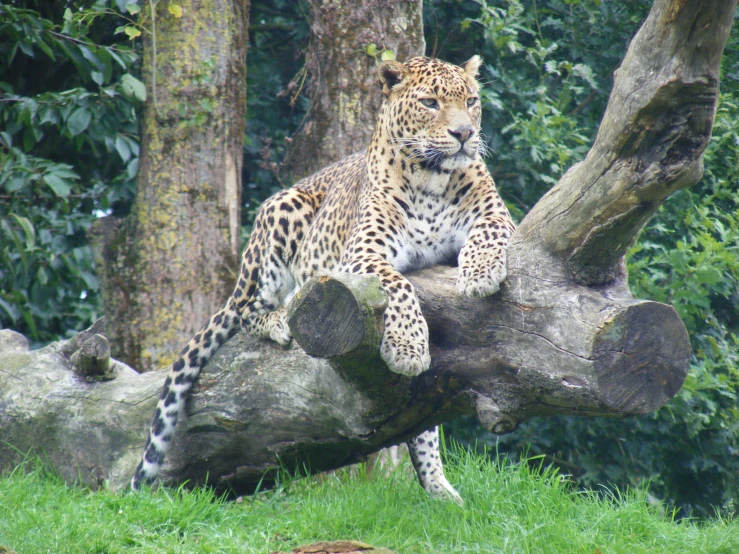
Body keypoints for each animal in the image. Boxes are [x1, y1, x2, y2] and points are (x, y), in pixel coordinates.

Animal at [132, 55, 516, 500]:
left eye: (471, 101)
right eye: (430, 103)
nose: (464, 134)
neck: (432, 178)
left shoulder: (495, 215)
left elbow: (488, 232)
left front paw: (480, 273)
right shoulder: (362, 254)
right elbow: (400, 286)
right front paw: (407, 345)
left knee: (420, 419)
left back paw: (439, 489)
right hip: (281, 214)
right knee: (250, 310)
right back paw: (280, 319)